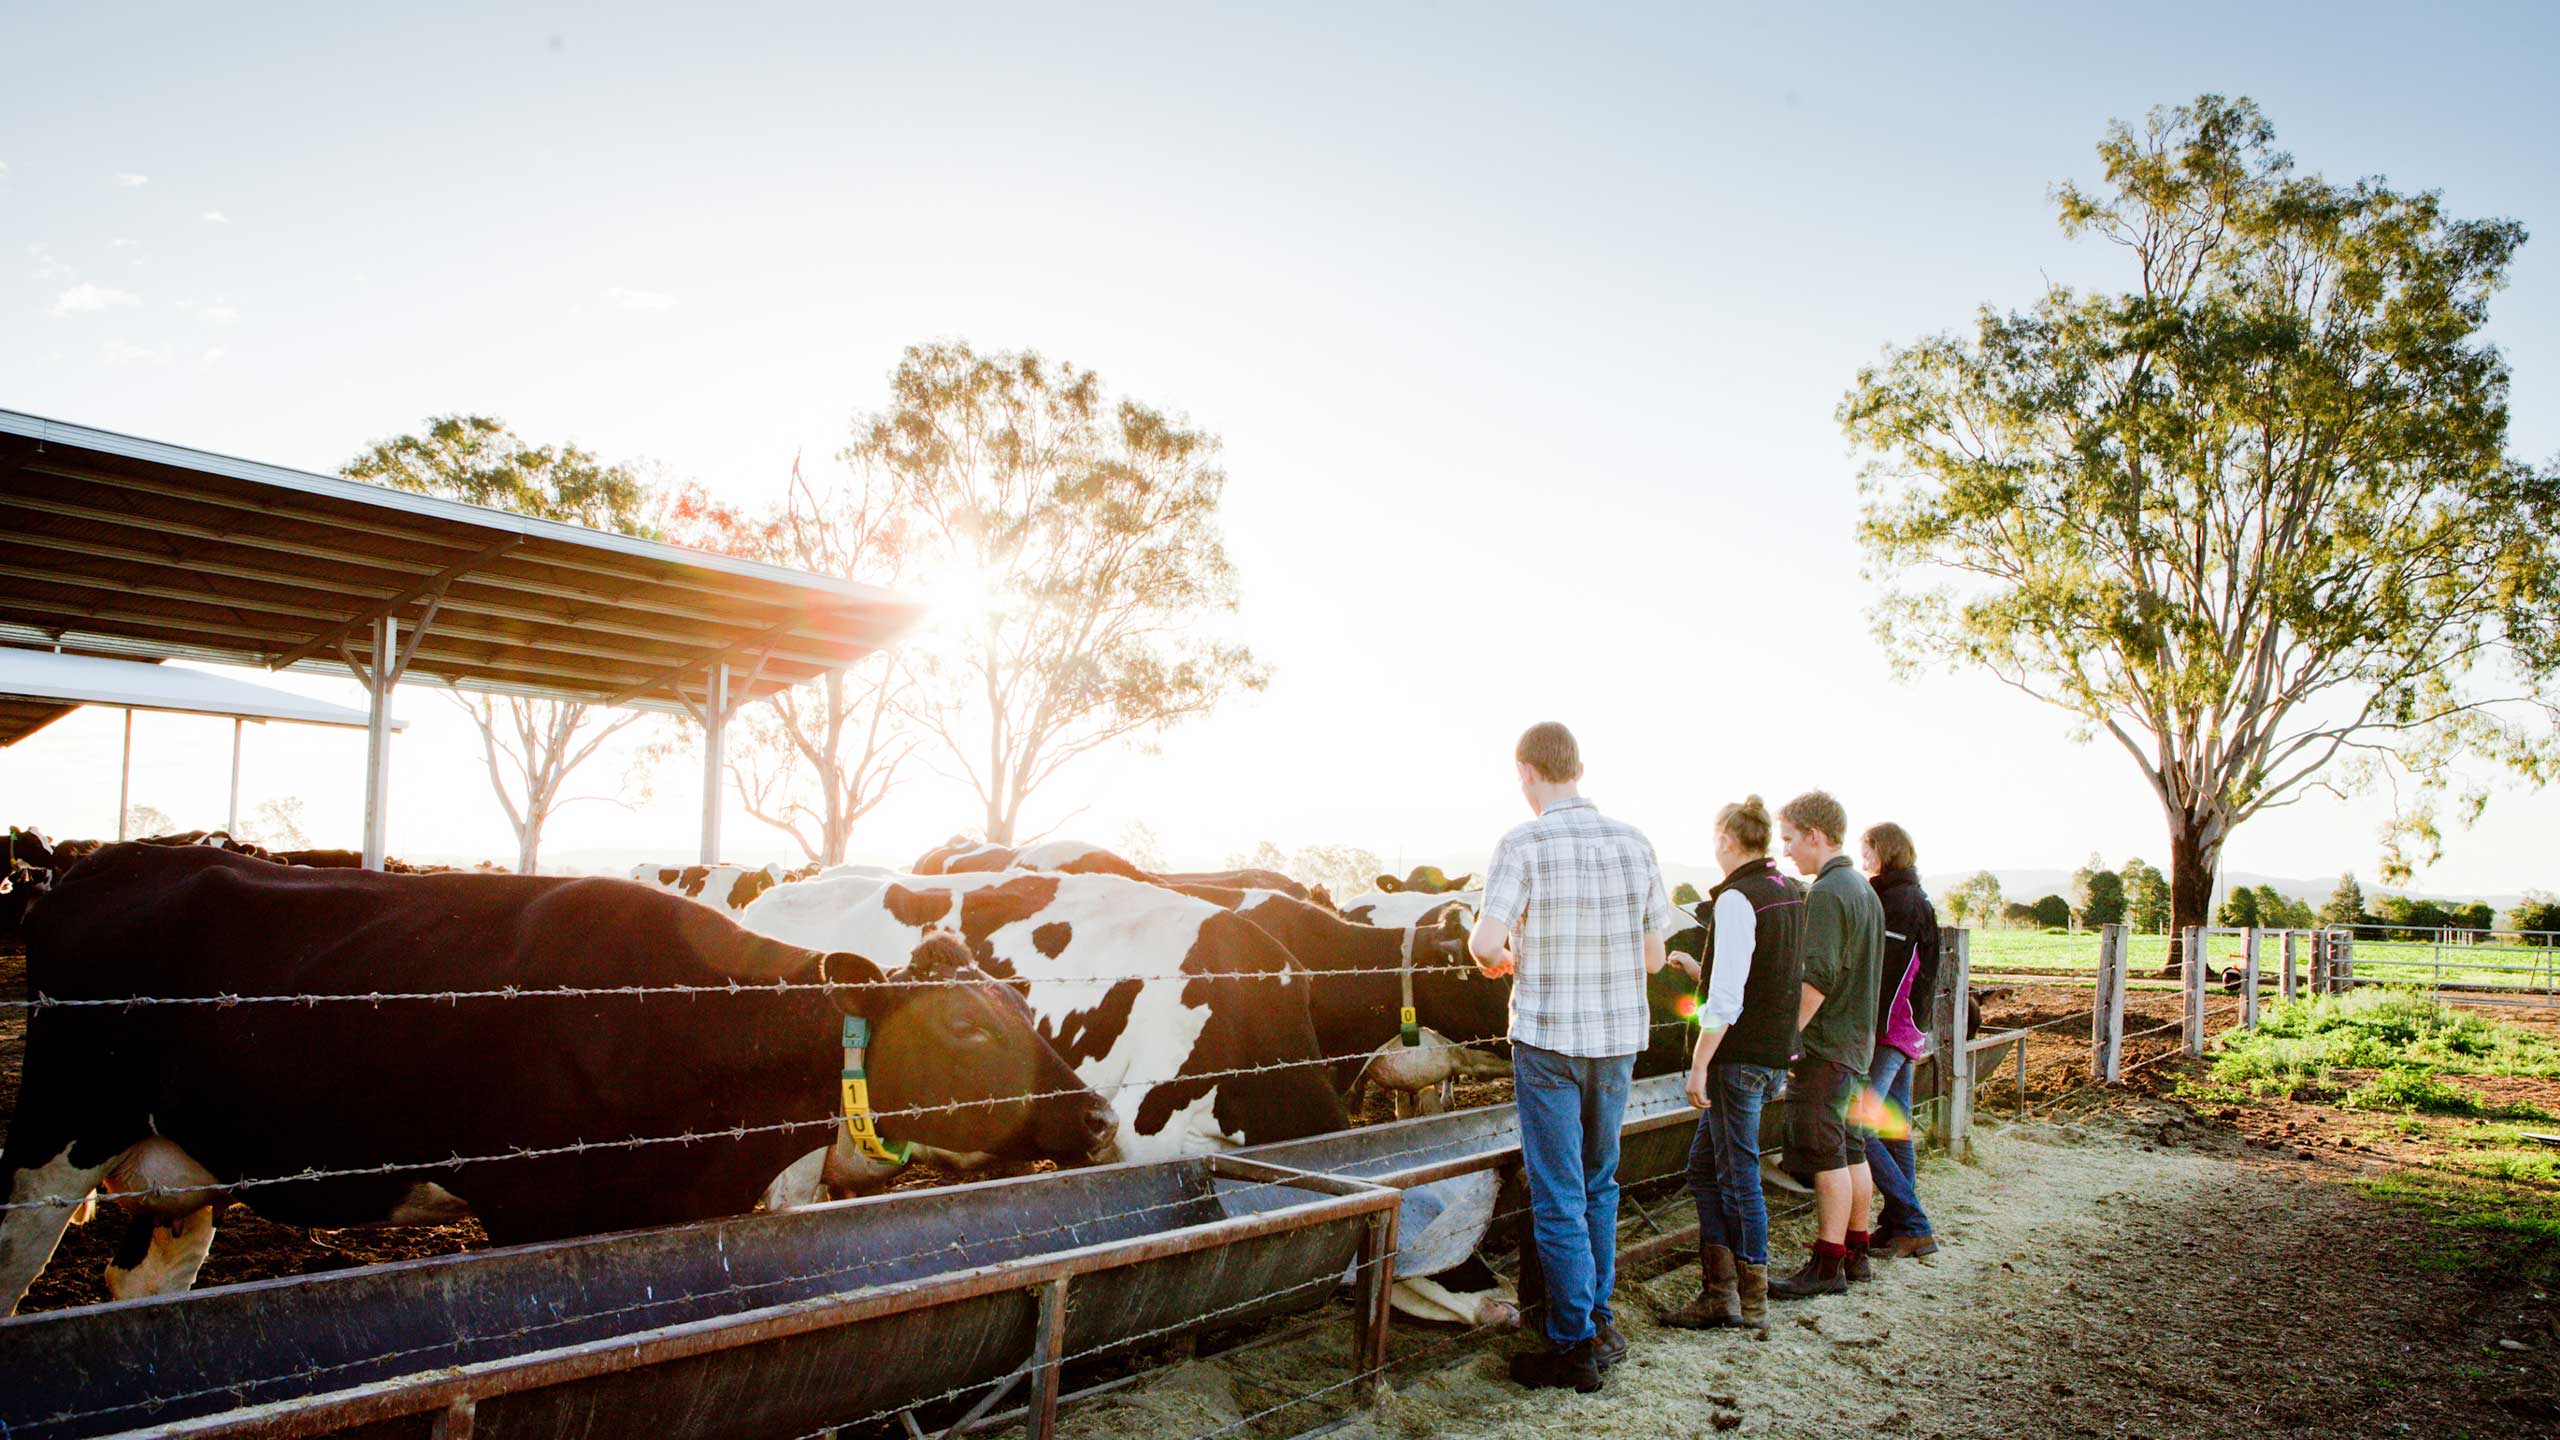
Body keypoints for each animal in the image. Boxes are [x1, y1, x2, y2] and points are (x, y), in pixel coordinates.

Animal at [2, 840, 1121, 1311]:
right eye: (968, 1027)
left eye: (1021, 1004)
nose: (1101, 1117)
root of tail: (101, 866)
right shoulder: (531, 1213)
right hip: (52, 1143)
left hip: (186, 1169)